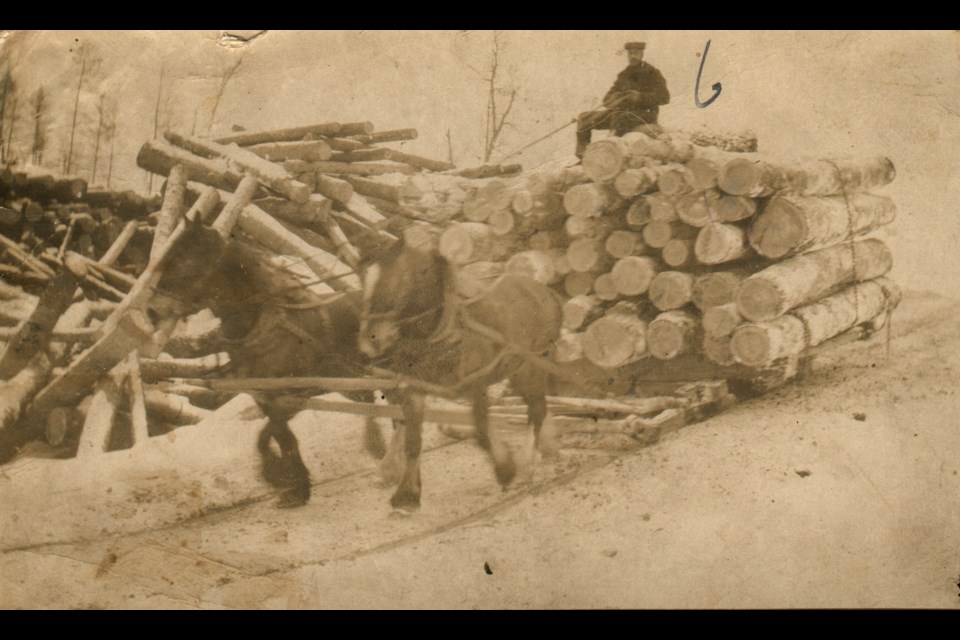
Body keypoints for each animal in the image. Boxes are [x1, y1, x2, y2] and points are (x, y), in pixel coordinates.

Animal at [150, 218, 386, 508]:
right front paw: (288, 481)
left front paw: (289, 483)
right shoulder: (266, 396)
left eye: (187, 263)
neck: (267, 326)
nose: (151, 311)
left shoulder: (287, 397)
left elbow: (279, 435)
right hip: (349, 382)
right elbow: (272, 437)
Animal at [358, 238, 564, 512]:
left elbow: (481, 428)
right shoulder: (414, 389)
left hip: (530, 366)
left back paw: (527, 461)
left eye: (398, 280)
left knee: (537, 409)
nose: (369, 341)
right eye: (364, 279)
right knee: (539, 407)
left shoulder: (476, 382)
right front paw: (407, 495)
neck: (442, 330)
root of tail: (546, 292)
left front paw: (505, 469)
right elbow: (413, 442)